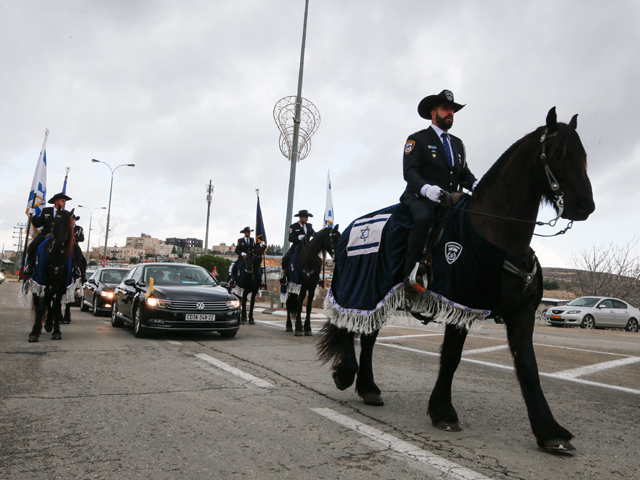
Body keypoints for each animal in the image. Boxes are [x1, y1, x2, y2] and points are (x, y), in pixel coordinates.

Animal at [26, 209, 76, 342]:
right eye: (54, 223)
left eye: (68, 225)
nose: (57, 246)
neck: (55, 256)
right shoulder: (41, 281)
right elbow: (41, 305)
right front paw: (34, 332)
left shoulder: (61, 284)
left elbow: (57, 305)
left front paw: (56, 331)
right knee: (41, 301)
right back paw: (40, 327)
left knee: (49, 300)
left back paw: (49, 324)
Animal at [318, 109, 596, 454]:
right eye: (557, 153)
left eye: (583, 155)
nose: (586, 205)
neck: (495, 235)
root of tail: (347, 230)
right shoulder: (460, 303)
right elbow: (451, 357)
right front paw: (443, 412)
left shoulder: (522, 313)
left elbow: (528, 368)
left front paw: (550, 432)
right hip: (360, 289)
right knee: (349, 327)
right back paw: (345, 374)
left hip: (380, 293)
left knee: (368, 335)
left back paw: (369, 388)